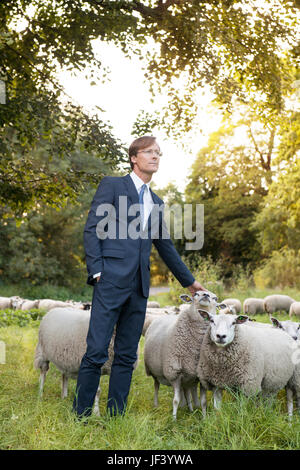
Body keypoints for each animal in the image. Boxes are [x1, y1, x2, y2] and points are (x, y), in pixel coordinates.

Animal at [144, 290, 225, 418]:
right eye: (196, 293)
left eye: (215, 298)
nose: (205, 295)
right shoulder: (174, 373)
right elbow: (175, 400)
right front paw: (174, 419)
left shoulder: (201, 376)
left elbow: (203, 401)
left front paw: (204, 417)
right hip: (154, 371)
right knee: (156, 386)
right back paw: (156, 405)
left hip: (187, 376)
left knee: (186, 391)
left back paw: (190, 409)